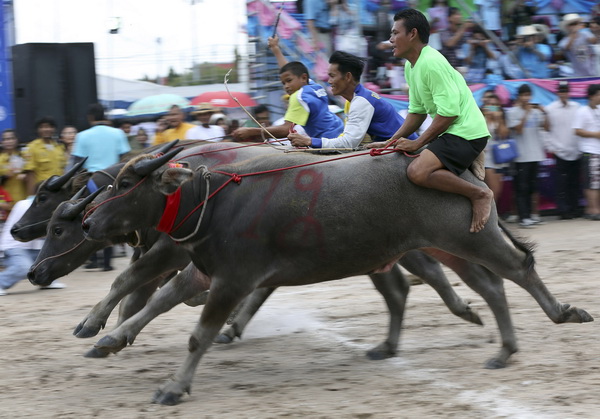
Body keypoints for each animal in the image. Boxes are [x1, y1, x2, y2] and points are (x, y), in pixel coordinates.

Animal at [81, 146, 596, 406]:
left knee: (518, 270)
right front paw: (108, 338)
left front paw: (173, 386)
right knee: (482, 285)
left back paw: (555, 318)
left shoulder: (231, 281)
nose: (86, 222)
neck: (212, 202)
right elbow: (157, 299)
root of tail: (464, 168)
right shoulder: (203, 273)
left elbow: (196, 334)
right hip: (436, 246)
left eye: (125, 184)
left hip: (467, 240)